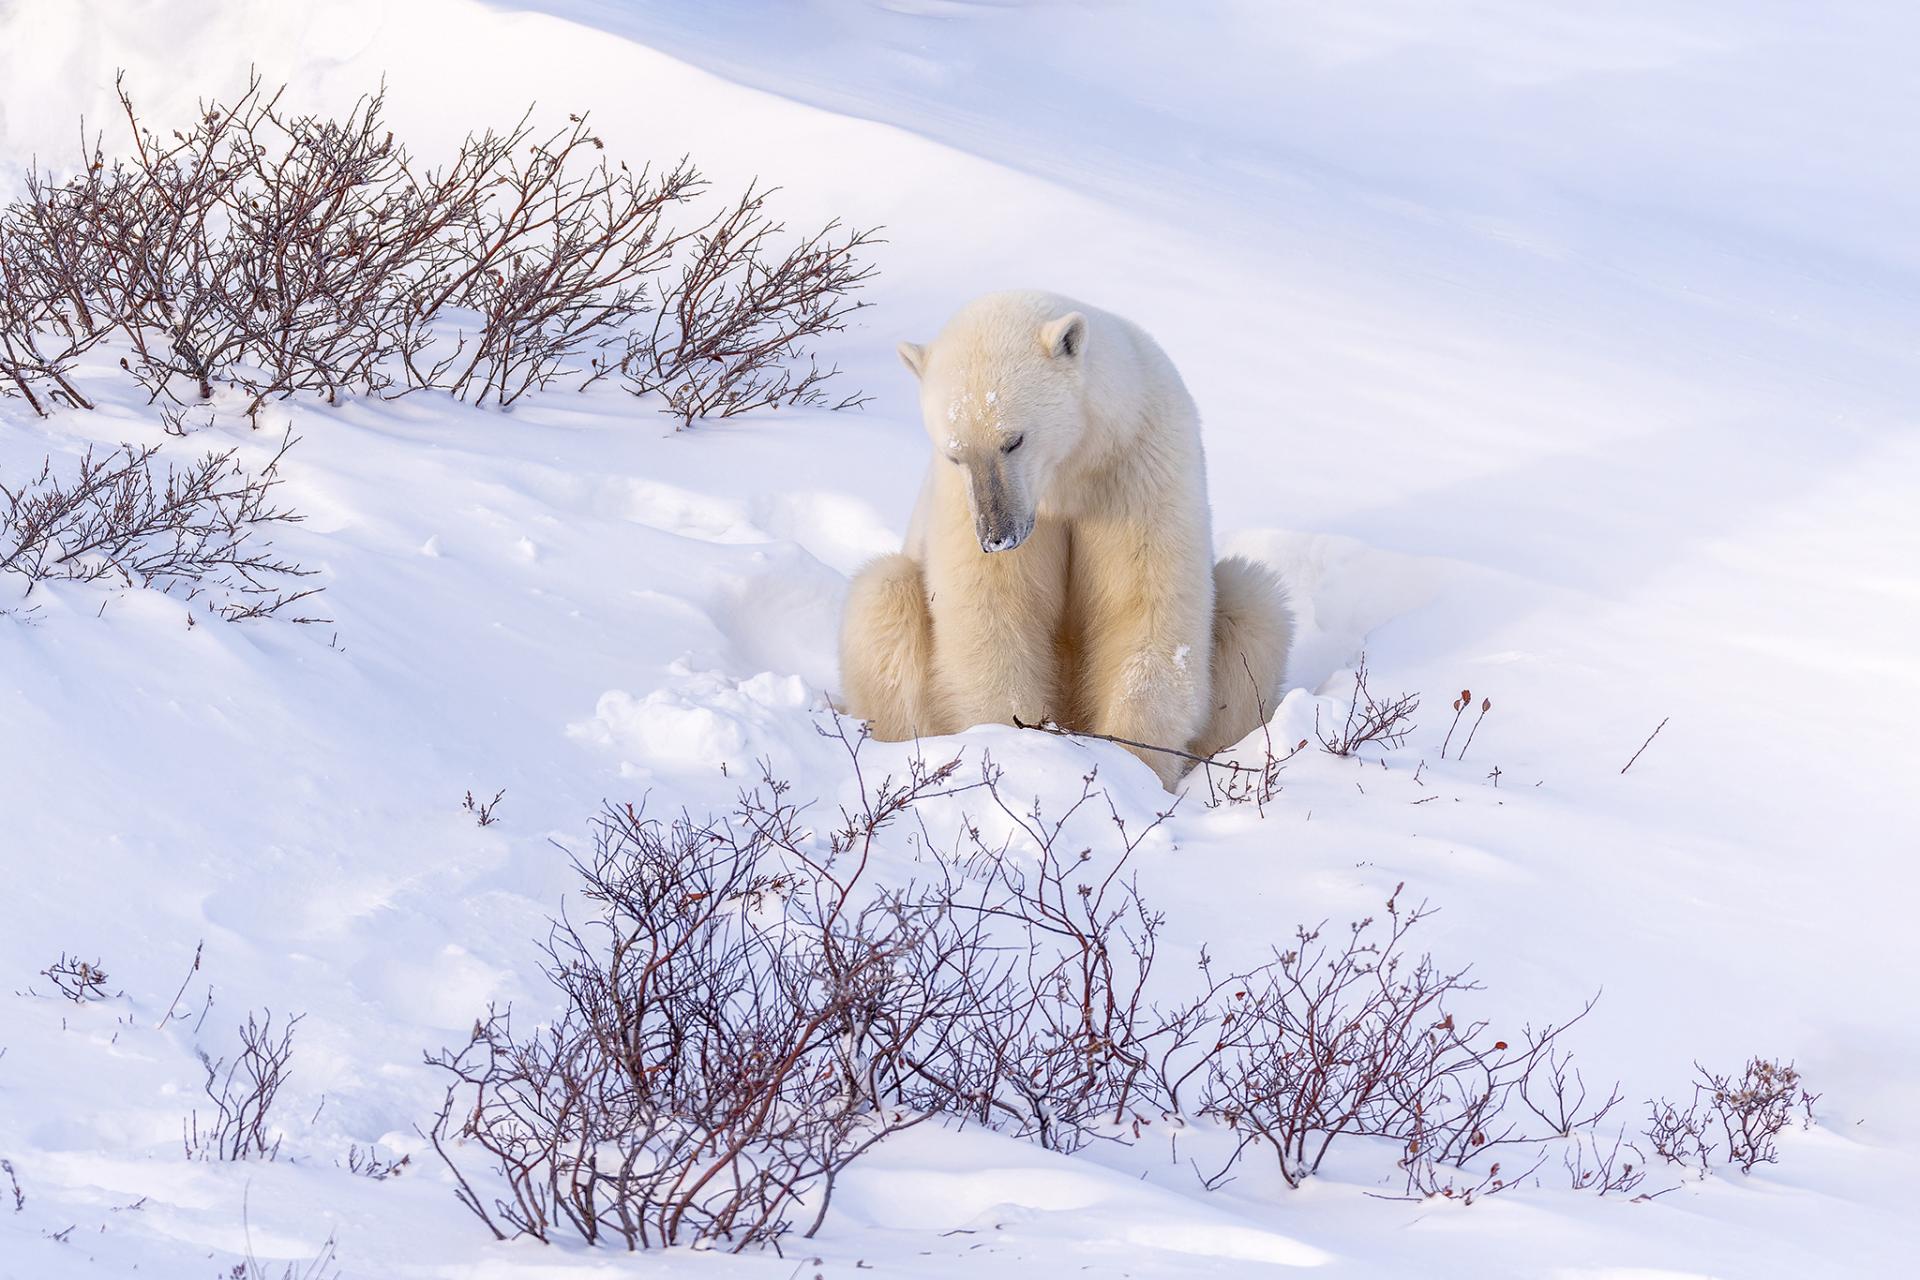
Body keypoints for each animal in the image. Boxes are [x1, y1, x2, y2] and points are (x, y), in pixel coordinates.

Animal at [840, 293, 1290, 786]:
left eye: (1014, 440)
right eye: (954, 453)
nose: (997, 537)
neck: (1071, 478)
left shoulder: (1138, 468)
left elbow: (1144, 607)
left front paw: (1137, 766)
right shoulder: (964, 504)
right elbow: (993, 612)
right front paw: (1015, 743)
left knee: (1253, 602)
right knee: (885, 595)